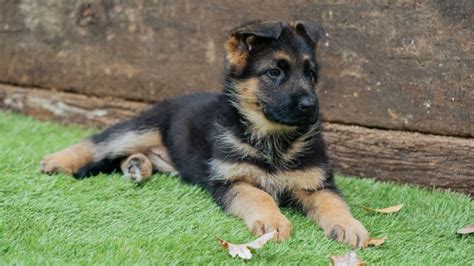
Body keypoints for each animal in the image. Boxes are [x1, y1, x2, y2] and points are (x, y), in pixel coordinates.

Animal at [40, 20, 370, 247]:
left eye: (311, 74)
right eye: (274, 72)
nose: (311, 106)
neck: (271, 139)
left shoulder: (317, 184)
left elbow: (334, 203)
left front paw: (350, 226)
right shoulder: (229, 181)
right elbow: (260, 195)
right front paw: (273, 221)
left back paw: (137, 166)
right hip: (141, 128)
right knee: (98, 143)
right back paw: (57, 160)